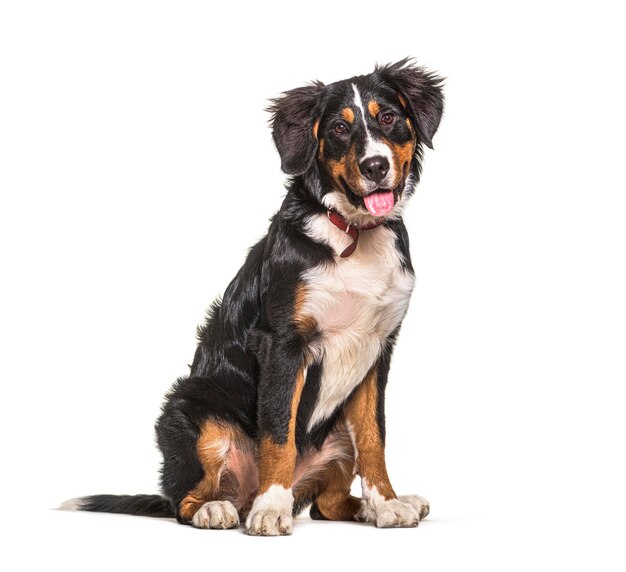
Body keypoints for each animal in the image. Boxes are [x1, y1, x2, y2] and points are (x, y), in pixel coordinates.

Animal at [62, 59, 444, 536]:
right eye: (339, 128)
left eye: (389, 117)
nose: (375, 165)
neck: (353, 234)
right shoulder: (284, 341)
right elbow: (278, 432)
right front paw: (272, 509)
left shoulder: (378, 348)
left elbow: (375, 437)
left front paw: (388, 504)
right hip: (192, 412)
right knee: (184, 500)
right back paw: (223, 509)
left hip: (336, 434)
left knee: (328, 504)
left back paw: (373, 506)